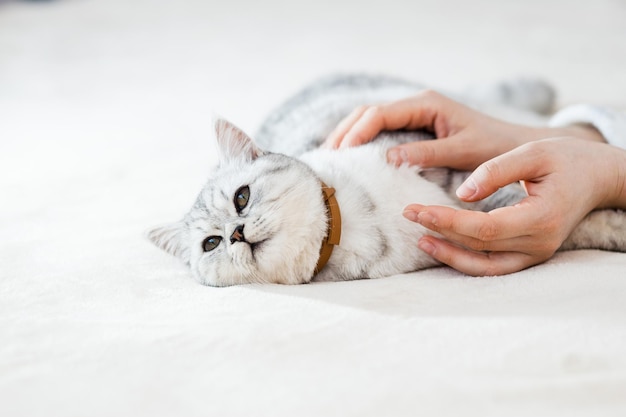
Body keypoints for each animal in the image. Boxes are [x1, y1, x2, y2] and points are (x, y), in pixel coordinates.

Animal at [147, 74, 624, 286]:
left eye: (242, 198)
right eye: (211, 243)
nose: (237, 233)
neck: (366, 225)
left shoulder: (452, 166)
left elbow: (504, 195)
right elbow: (584, 227)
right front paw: (615, 227)